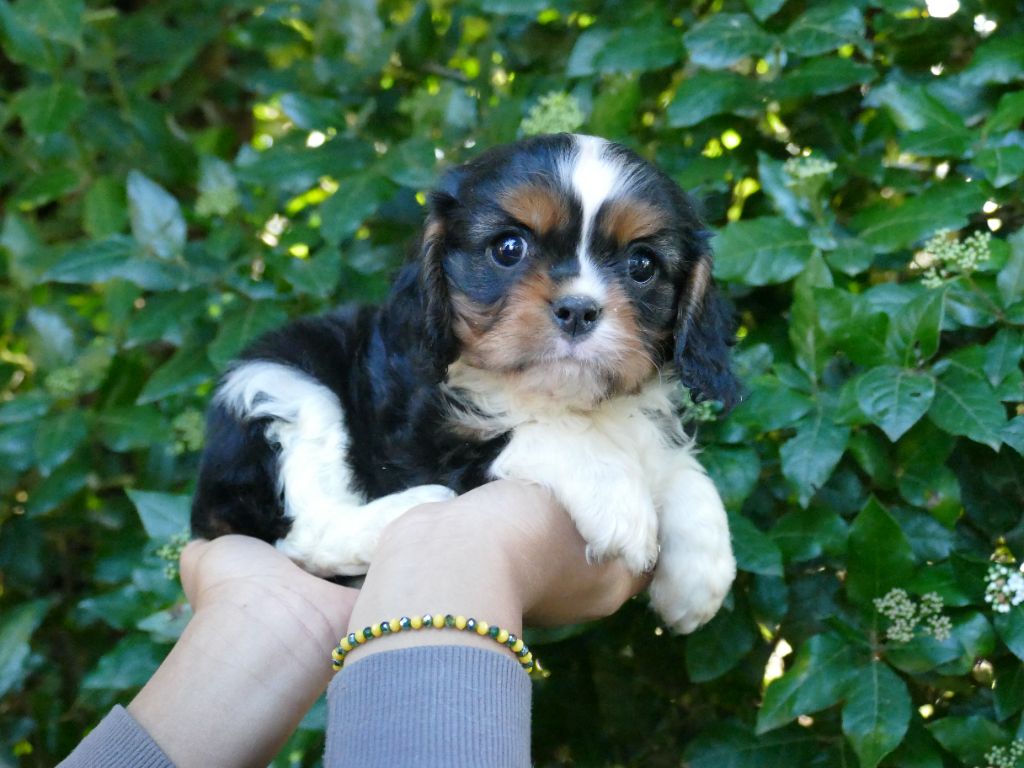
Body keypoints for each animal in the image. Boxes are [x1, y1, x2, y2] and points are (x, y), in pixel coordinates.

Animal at [190, 135, 737, 634]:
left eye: (642, 264)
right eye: (508, 248)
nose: (578, 309)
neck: (563, 399)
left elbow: (678, 467)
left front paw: (700, 575)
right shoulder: (420, 441)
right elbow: (537, 438)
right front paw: (620, 501)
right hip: (282, 380)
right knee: (303, 532)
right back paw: (413, 508)